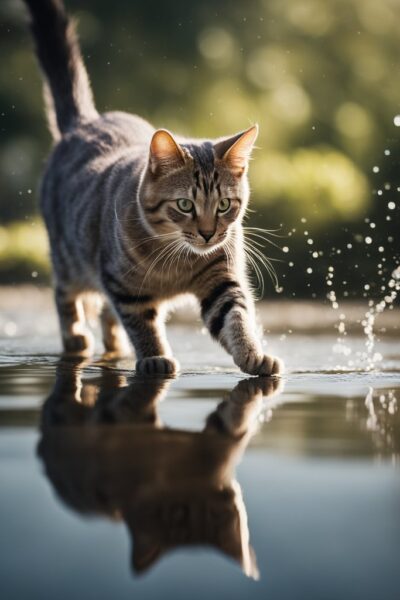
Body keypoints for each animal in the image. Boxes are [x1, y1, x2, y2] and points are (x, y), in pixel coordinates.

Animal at [23, 0, 282, 376]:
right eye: (185, 205)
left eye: (223, 205)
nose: (208, 233)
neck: (176, 262)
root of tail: (85, 123)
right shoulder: (123, 286)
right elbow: (141, 324)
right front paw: (155, 356)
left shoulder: (222, 277)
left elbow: (235, 317)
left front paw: (253, 352)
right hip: (68, 257)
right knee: (66, 295)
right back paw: (76, 337)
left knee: (106, 316)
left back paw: (112, 344)